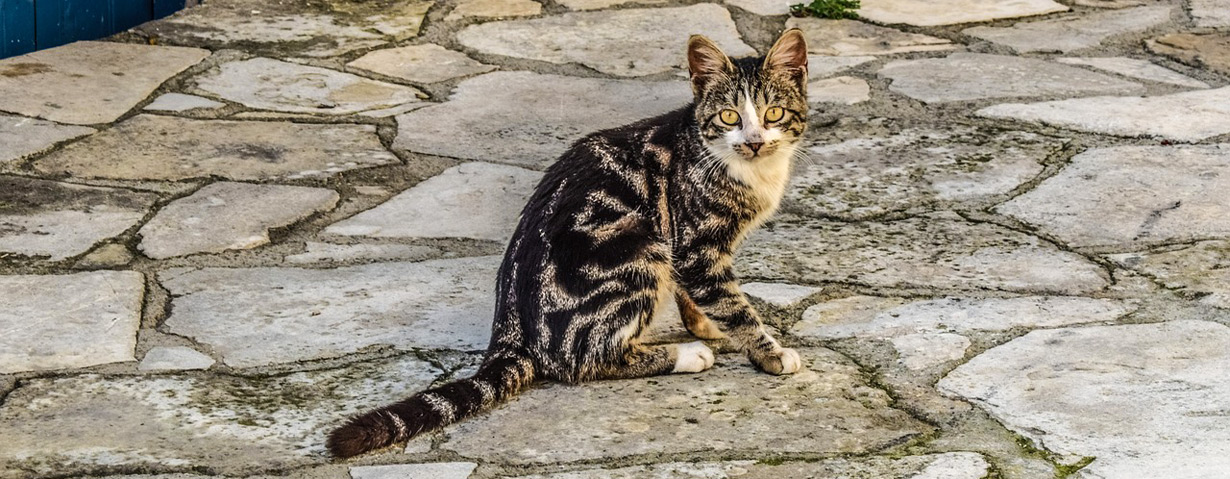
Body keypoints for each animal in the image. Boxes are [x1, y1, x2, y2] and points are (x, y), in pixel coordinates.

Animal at [327, 28, 806, 458]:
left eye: (774, 113)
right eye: (728, 117)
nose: (754, 141)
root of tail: (512, 326)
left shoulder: (688, 247)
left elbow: (697, 296)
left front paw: (708, 326)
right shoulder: (693, 245)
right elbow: (732, 304)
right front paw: (768, 352)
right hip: (637, 244)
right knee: (585, 360)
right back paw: (685, 355)